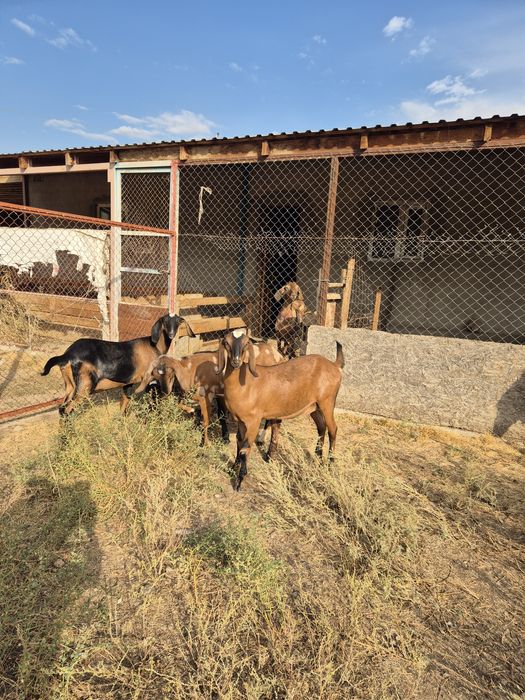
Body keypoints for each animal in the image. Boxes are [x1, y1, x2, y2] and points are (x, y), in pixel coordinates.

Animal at [41, 313, 194, 416]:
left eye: (177, 321)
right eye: (165, 321)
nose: (171, 333)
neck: (154, 345)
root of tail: (67, 355)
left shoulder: (128, 384)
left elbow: (124, 406)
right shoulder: (148, 379)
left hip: (70, 386)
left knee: (62, 409)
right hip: (84, 386)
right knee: (68, 409)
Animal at [135, 339, 286, 446]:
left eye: (171, 375)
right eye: (155, 376)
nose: (165, 392)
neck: (191, 369)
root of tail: (278, 355)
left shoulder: (206, 396)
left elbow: (206, 420)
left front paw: (205, 443)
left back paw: (261, 438)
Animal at [217, 328, 344, 490]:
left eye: (245, 343)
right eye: (226, 342)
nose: (236, 362)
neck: (246, 383)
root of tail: (334, 365)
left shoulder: (253, 420)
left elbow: (245, 449)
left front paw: (239, 481)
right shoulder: (240, 420)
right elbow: (239, 443)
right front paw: (233, 469)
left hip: (327, 402)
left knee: (333, 429)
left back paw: (330, 463)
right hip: (313, 406)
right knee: (322, 427)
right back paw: (318, 456)